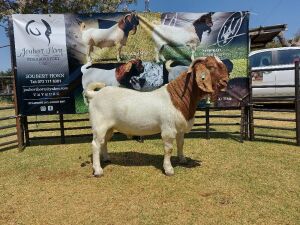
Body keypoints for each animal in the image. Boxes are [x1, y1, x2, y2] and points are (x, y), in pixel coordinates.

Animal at [85, 55, 229, 176]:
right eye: (211, 66)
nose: (226, 81)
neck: (177, 98)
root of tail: (95, 94)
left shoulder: (180, 129)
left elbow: (181, 144)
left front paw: (182, 159)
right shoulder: (168, 129)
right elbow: (168, 149)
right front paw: (168, 169)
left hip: (109, 127)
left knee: (103, 142)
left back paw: (106, 159)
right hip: (99, 126)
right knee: (95, 144)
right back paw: (98, 170)